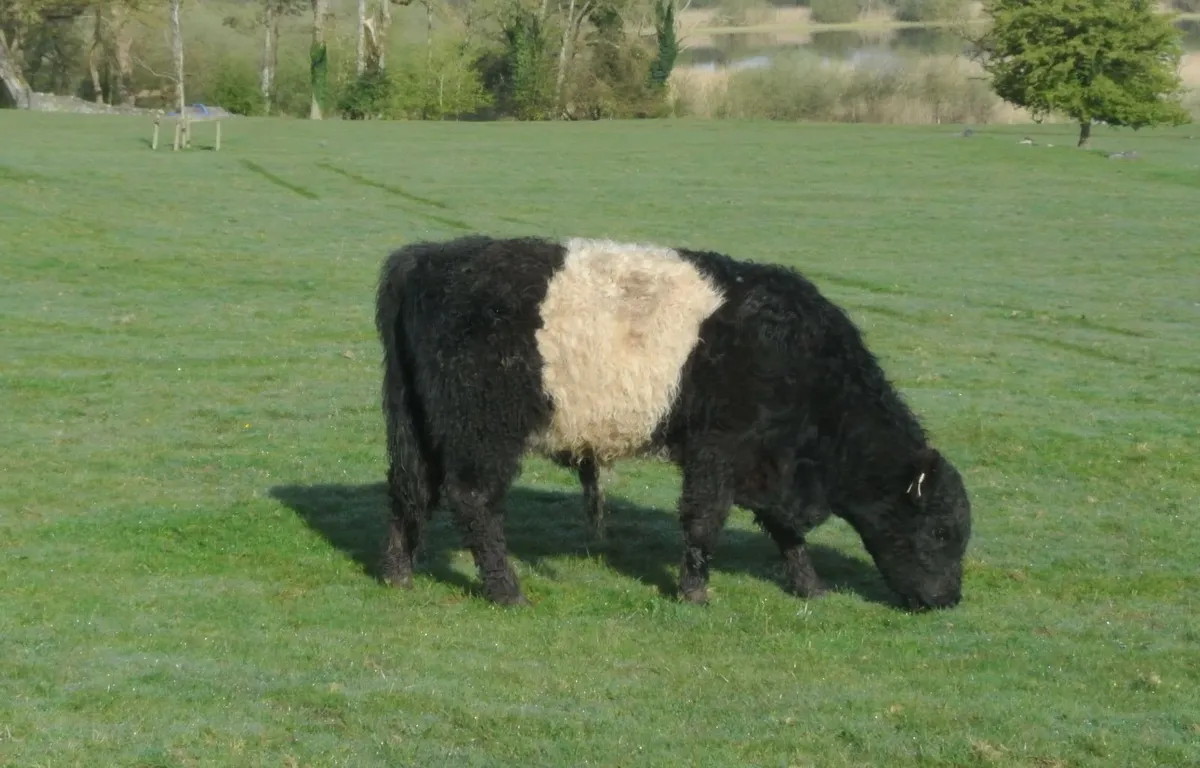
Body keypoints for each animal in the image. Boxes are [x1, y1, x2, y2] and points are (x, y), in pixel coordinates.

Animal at [374, 234, 972, 611]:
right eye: (942, 531)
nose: (947, 600)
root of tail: (429, 258)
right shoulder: (719, 448)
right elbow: (705, 520)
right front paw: (695, 592)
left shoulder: (766, 464)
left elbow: (784, 529)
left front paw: (810, 586)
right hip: (483, 432)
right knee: (473, 502)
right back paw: (507, 591)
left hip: (418, 428)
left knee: (409, 492)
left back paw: (399, 575)